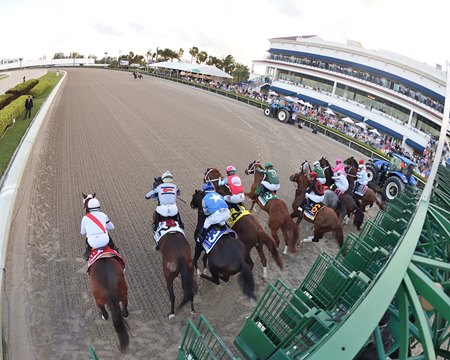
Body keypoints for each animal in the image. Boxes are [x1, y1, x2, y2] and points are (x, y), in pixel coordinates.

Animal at [81, 194, 130, 352]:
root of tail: (109, 287)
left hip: (98, 298)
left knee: (105, 312)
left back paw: (103, 316)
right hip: (124, 293)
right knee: (125, 309)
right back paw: (125, 314)